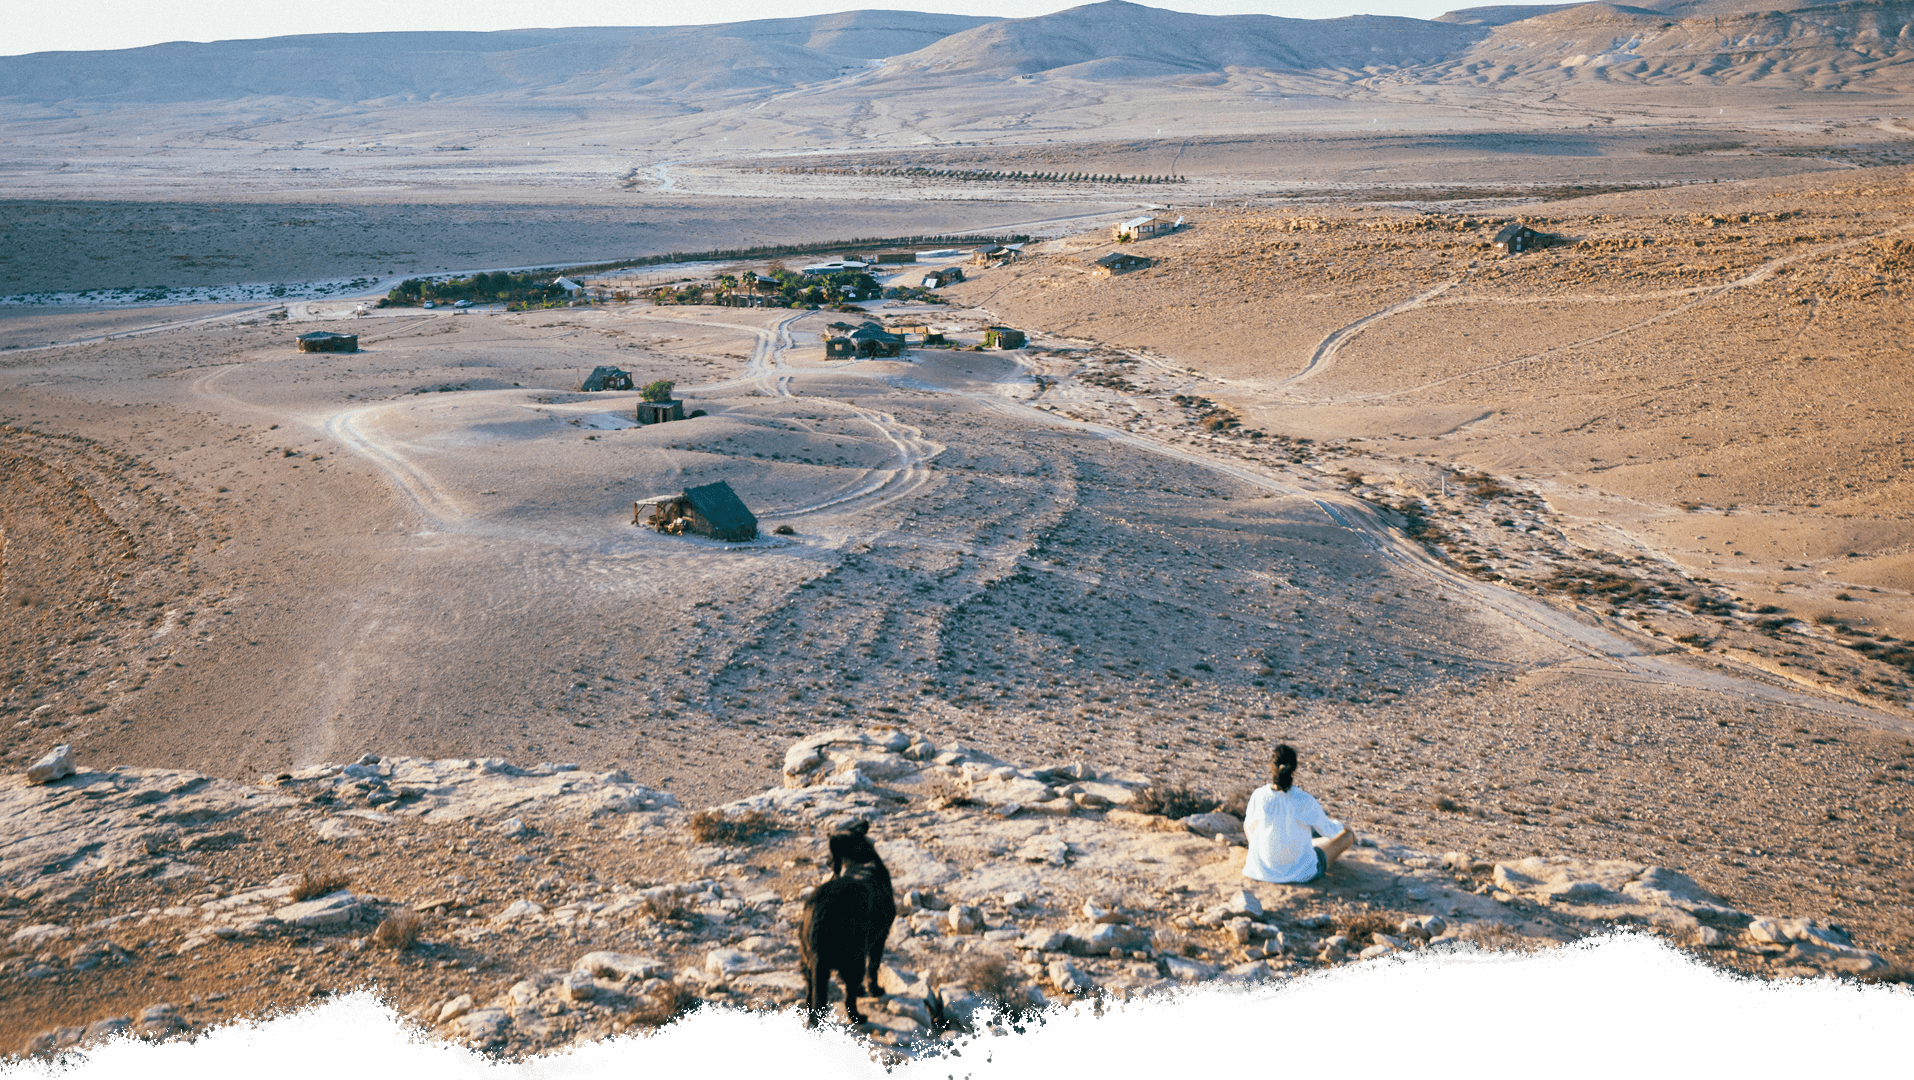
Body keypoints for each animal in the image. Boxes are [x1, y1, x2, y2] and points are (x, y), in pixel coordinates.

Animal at [803, 823, 899, 1026]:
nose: (827, 863)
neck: (862, 861)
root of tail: (820, 914)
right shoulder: (880, 937)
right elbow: (873, 968)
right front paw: (875, 990)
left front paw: (863, 990)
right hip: (853, 958)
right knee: (848, 998)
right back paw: (858, 1017)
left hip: (809, 963)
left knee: (811, 997)